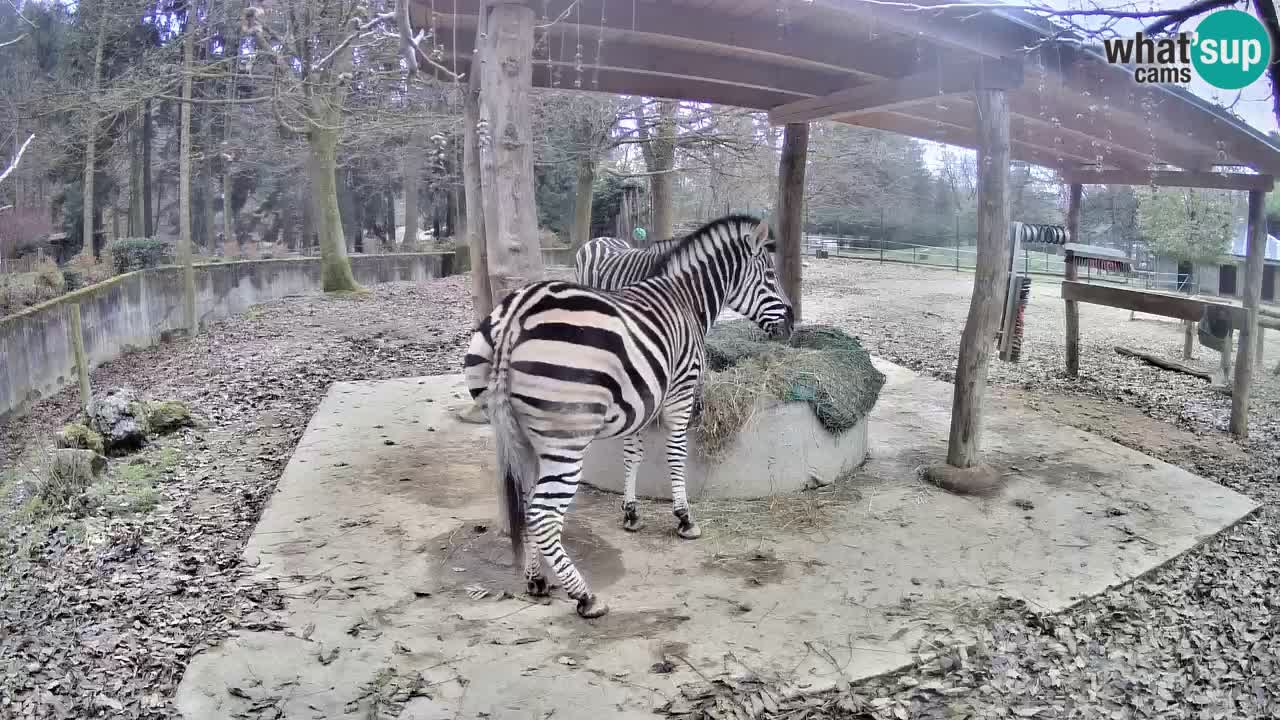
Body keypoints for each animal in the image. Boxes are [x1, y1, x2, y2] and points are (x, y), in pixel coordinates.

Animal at [465, 212, 793, 617]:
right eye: (770, 275)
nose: (792, 323)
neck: (686, 300)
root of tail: (514, 316)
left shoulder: (639, 399)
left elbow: (632, 454)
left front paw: (631, 513)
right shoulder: (680, 390)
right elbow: (676, 454)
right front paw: (684, 518)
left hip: (518, 435)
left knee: (527, 504)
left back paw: (536, 579)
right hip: (567, 437)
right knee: (543, 513)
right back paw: (585, 596)